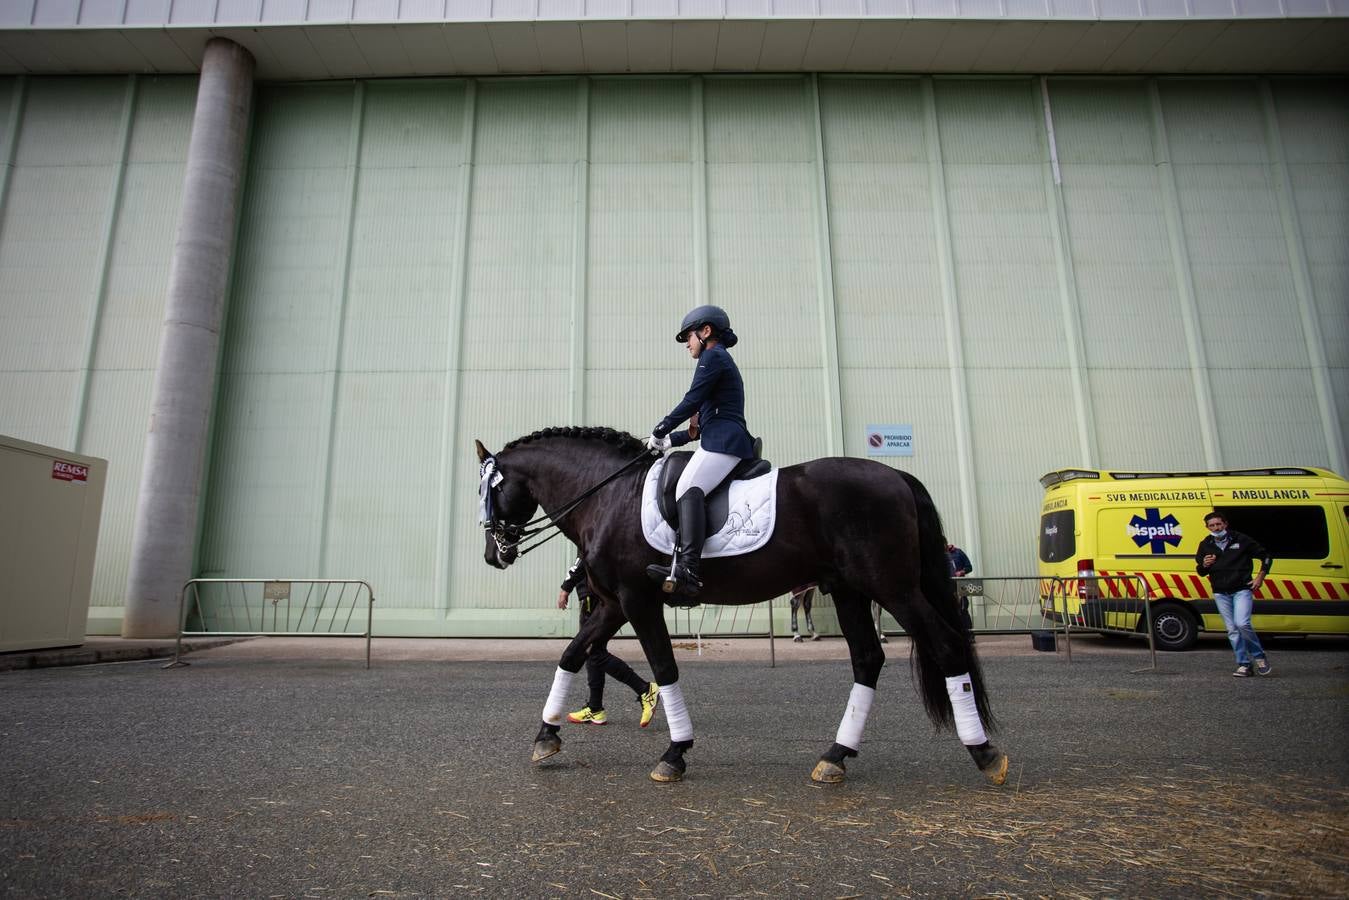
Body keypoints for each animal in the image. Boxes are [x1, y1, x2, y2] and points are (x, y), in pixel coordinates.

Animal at [480, 426, 1009, 782]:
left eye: (489, 489)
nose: (493, 555)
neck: (609, 494)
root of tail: (896, 474)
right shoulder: (613, 603)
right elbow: (573, 653)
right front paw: (546, 737)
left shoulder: (637, 600)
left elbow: (664, 667)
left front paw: (675, 753)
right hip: (848, 589)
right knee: (867, 659)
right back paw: (834, 757)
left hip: (892, 587)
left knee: (945, 645)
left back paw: (985, 754)